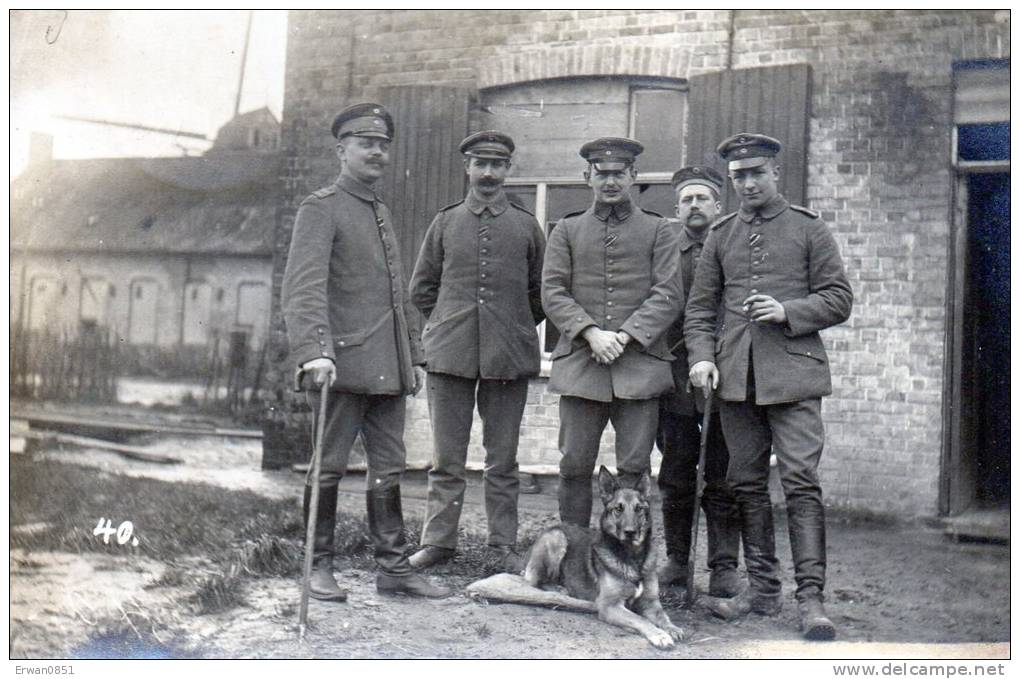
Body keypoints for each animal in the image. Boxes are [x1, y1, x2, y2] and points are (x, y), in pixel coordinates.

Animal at [526, 464, 685, 644]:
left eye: (639, 509)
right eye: (618, 509)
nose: (630, 532)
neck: (632, 555)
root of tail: (555, 526)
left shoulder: (650, 603)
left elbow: (663, 616)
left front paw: (672, 628)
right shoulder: (609, 606)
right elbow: (640, 619)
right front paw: (659, 635)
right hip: (557, 538)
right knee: (536, 582)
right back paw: (559, 589)